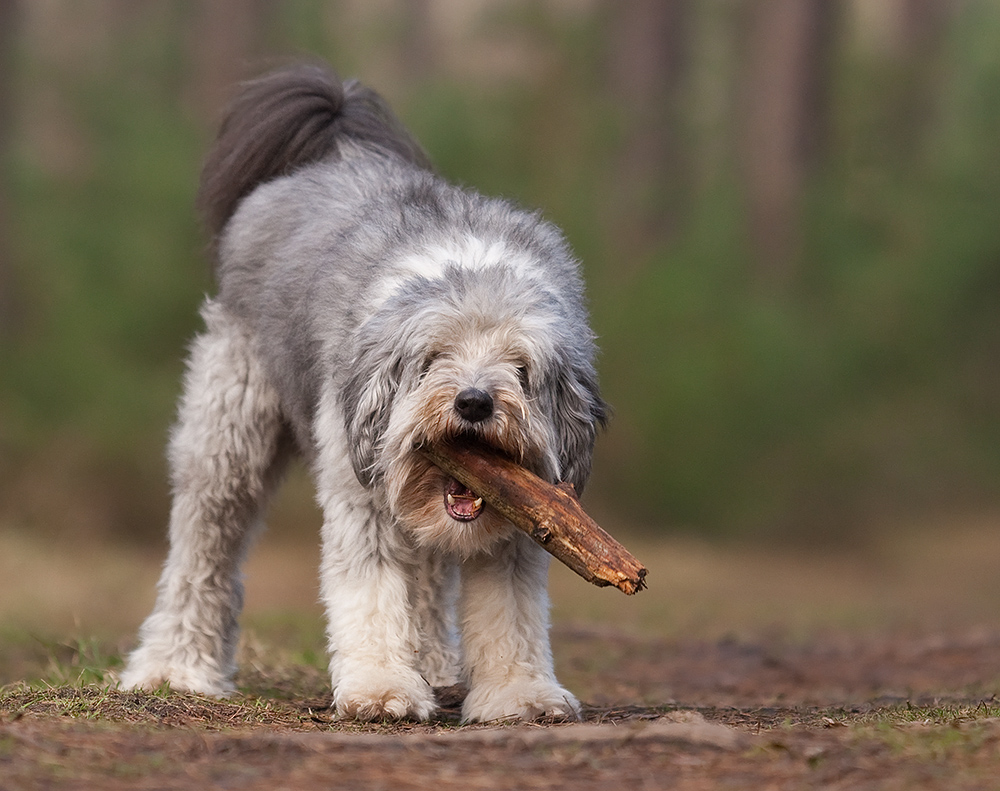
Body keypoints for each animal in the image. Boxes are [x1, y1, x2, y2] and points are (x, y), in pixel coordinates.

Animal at [123, 65, 608, 724]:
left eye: (521, 368)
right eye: (433, 359)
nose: (474, 402)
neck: (466, 267)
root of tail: (337, 147)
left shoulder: (525, 515)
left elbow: (509, 610)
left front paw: (520, 695)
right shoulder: (360, 489)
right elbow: (372, 590)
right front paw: (381, 688)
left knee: (425, 573)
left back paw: (435, 667)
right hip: (229, 435)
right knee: (203, 553)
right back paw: (174, 668)